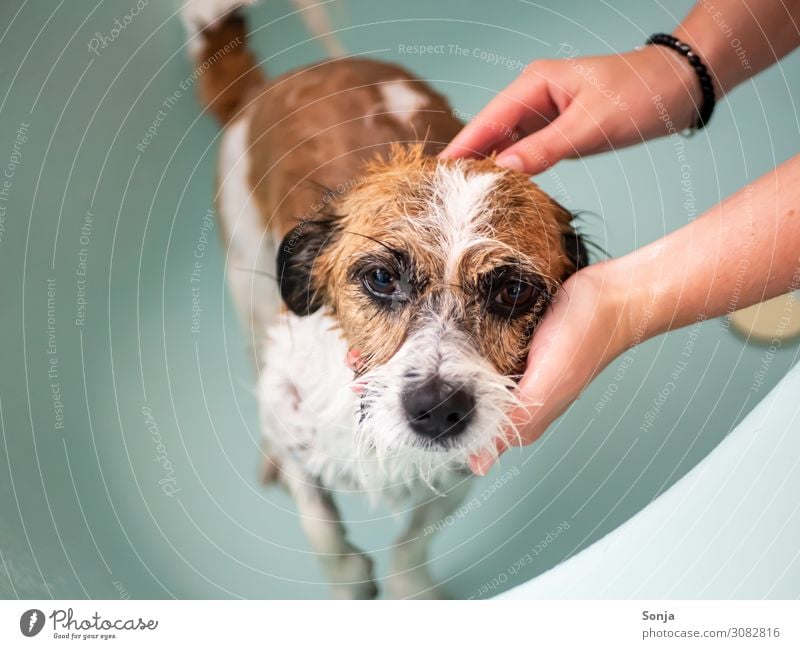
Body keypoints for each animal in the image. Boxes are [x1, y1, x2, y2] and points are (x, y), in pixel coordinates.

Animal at [181, 0, 588, 596]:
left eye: (513, 291)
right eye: (379, 278)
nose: (437, 408)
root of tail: (267, 85)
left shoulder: (455, 473)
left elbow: (412, 542)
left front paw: (408, 589)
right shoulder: (294, 416)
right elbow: (322, 529)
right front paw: (351, 583)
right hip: (248, 280)